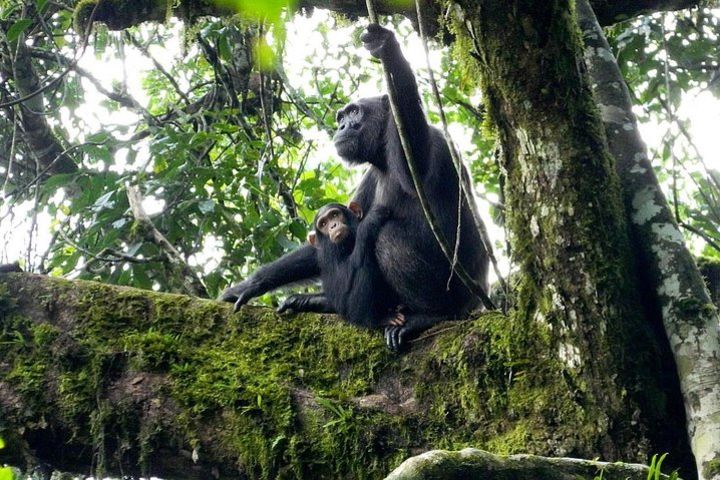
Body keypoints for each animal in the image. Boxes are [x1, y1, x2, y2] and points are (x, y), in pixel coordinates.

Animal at [278, 202, 404, 330]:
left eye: (334, 215)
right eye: (323, 224)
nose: (333, 225)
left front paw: (300, 301)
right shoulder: (328, 260)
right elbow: (342, 290)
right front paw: (369, 221)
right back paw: (377, 319)